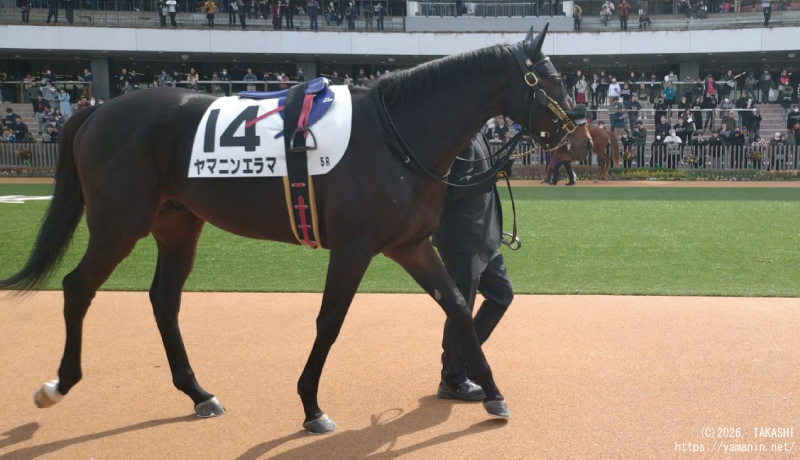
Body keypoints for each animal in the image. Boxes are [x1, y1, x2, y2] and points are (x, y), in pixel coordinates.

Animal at [0, 26, 592, 435]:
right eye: (553, 81)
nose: (585, 143)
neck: (395, 133)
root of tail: (98, 110)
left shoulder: (410, 245)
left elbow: (457, 306)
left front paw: (490, 391)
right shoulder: (354, 247)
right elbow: (330, 321)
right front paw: (311, 405)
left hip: (178, 224)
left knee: (164, 300)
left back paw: (198, 392)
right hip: (118, 223)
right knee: (78, 286)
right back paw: (58, 385)